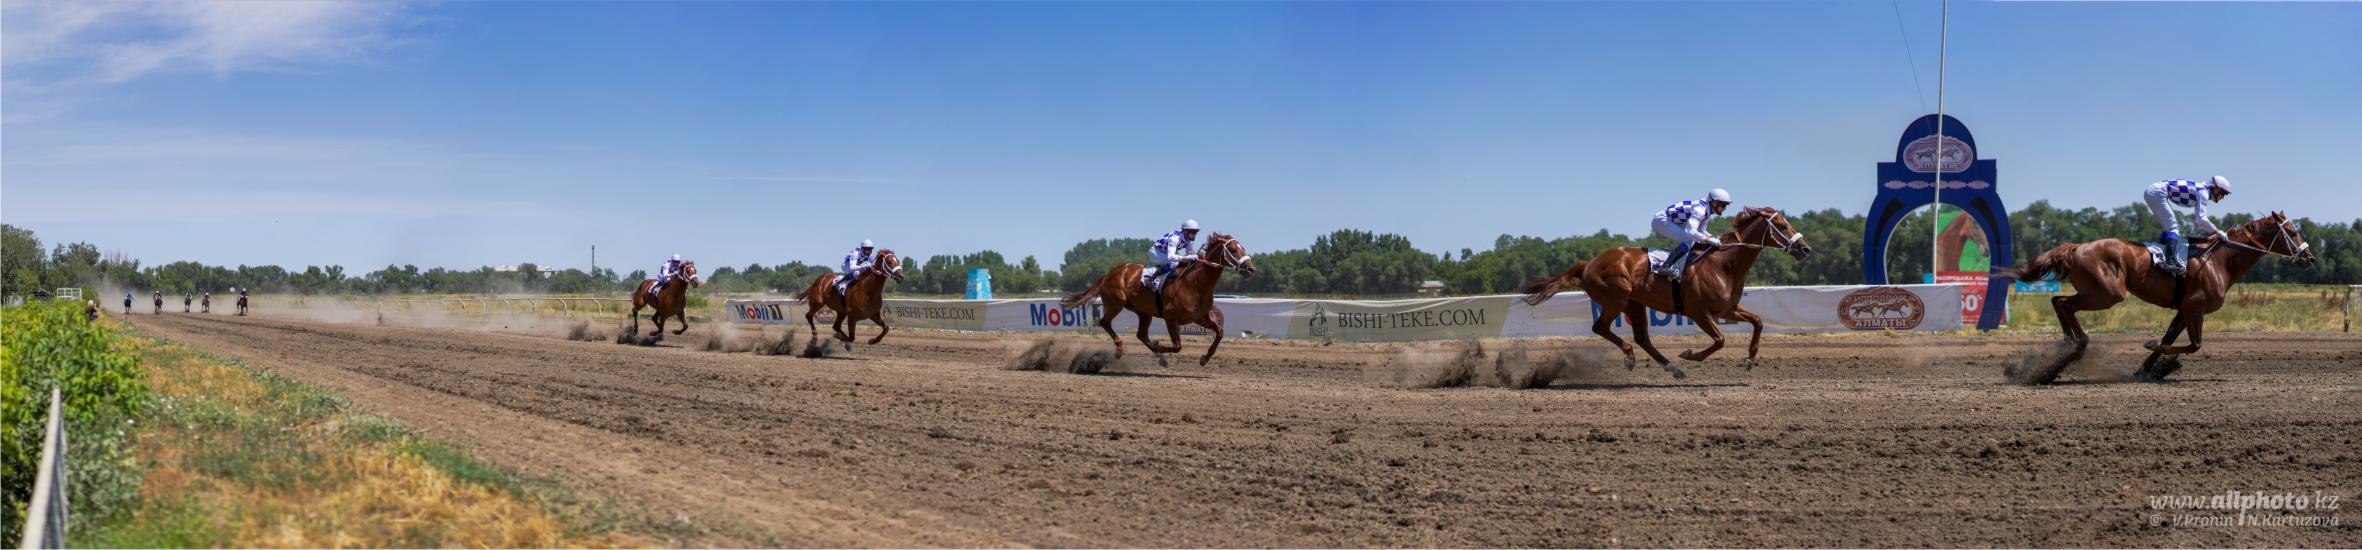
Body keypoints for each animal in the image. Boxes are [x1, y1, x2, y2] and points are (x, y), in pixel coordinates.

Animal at [1061, 233, 1257, 366]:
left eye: (1243, 248)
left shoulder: (1199, 317)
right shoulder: (1171, 317)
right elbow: (1177, 346)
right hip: (1116, 303)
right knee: (1104, 322)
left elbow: (1220, 332)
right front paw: (1159, 350)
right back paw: (1120, 350)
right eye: (1233, 250)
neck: (1196, 283)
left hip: (1143, 312)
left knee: (1141, 334)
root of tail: (1109, 273)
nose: (1251, 269)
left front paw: (1204, 358)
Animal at [1517, 207, 1812, 378]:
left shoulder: (1727, 309)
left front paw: (1749, 360)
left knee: (1641, 337)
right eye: (1782, 226)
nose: (1805, 248)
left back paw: (1672, 367)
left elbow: (1758, 322)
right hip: (1615, 299)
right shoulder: (1698, 312)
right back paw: (1631, 357)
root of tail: (1589, 263)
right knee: (1601, 328)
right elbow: (1719, 340)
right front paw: (1690, 354)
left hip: (1634, 304)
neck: (1724, 264)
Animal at [2004, 212, 2315, 382]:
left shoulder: (2183, 311)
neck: (2219, 262)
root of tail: (2078, 247)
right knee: (2065, 304)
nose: (2310, 258)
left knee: (2057, 301)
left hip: (2095, 291)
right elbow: (2192, 345)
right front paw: (2156, 351)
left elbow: (2171, 340)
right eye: (2292, 231)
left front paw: (2144, 371)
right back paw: (2076, 345)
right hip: (2107, 294)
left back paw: (2066, 347)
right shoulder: (2194, 308)